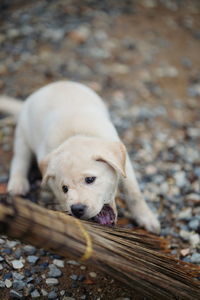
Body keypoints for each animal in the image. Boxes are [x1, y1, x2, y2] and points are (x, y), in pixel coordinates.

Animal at [0, 81, 159, 233]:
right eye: (64, 188)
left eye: (90, 179)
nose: (77, 209)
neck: (77, 133)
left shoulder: (125, 166)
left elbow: (134, 193)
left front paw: (147, 217)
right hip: (22, 135)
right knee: (20, 159)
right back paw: (17, 184)